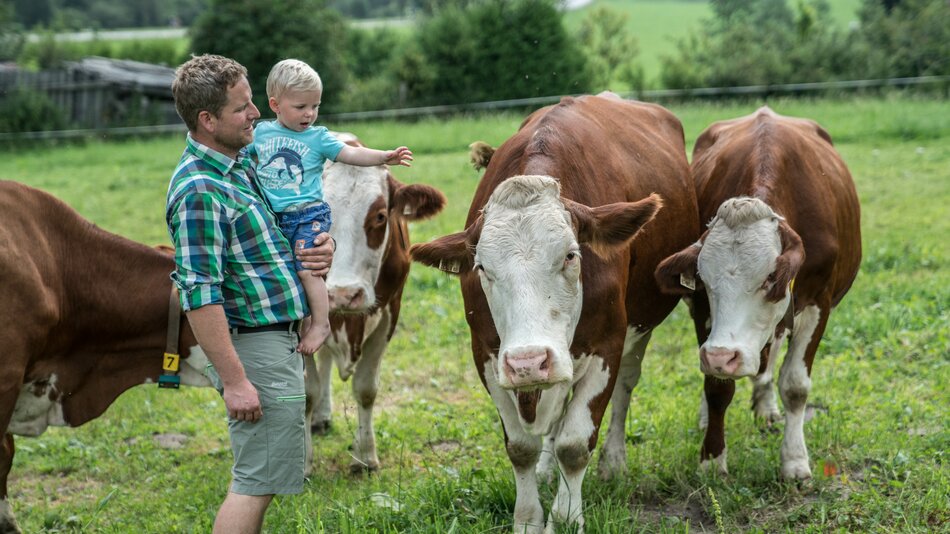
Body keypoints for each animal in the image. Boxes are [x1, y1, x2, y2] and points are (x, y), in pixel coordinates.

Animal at [308, 134, 450, 474]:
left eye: (381, 216)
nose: (343, 294)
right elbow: (306, 391)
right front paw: (301, 463)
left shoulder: (389, 312)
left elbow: (365, 388)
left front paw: (365, 457)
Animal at [412, 94, 704, 532]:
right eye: (482, 267)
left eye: (570, 255)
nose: (529, 362)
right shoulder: (487, 353)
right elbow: (521, 446)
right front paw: (529, 517)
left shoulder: (606, 345)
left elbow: (575, 443)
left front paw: (565, 518)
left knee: (624, 387)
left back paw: (613, 461)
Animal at [656, 108, 864, 482]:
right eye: (704, 279)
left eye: (770, 278)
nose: (722, 356)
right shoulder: (702, 310)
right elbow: (717, 387)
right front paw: (712, 458)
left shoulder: (818, 303)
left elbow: (795, 386)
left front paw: (794, 460)